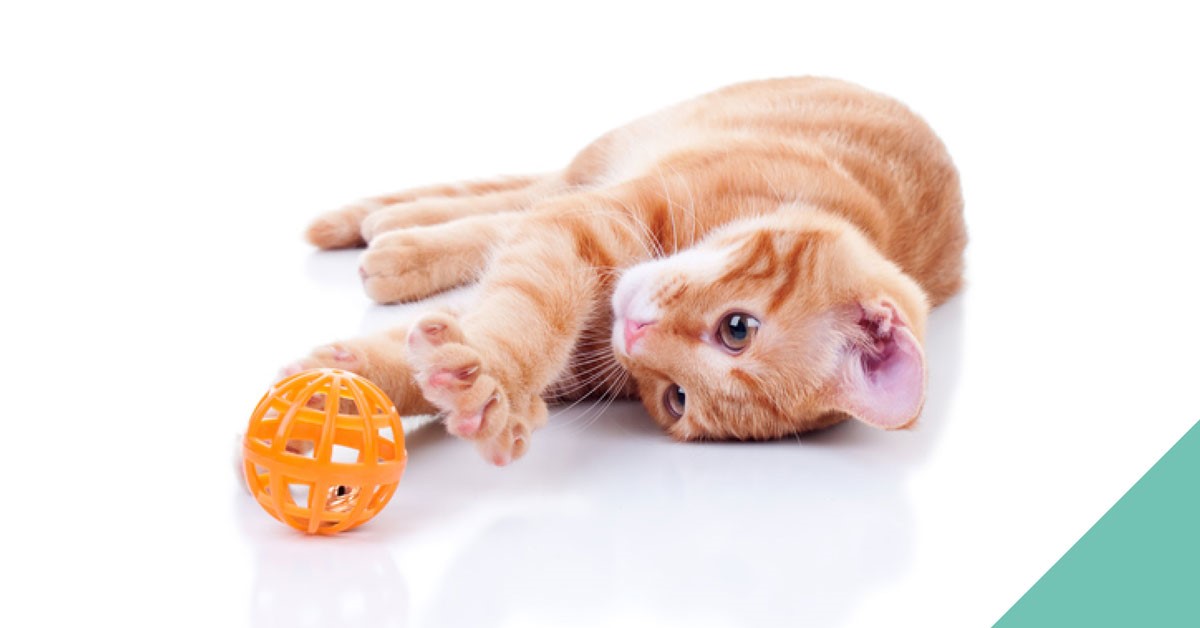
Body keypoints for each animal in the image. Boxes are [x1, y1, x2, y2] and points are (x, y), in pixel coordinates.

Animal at [288, 76, 964, 463]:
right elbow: (525, 309)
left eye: (675, 399)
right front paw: (494, 379)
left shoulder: (579, 352)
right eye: (738, 329)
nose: (634, 338)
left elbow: (459, 327)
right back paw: (386, 232)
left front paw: (341, 388)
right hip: (603, 157)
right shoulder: (590, 220)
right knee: (518, 198)